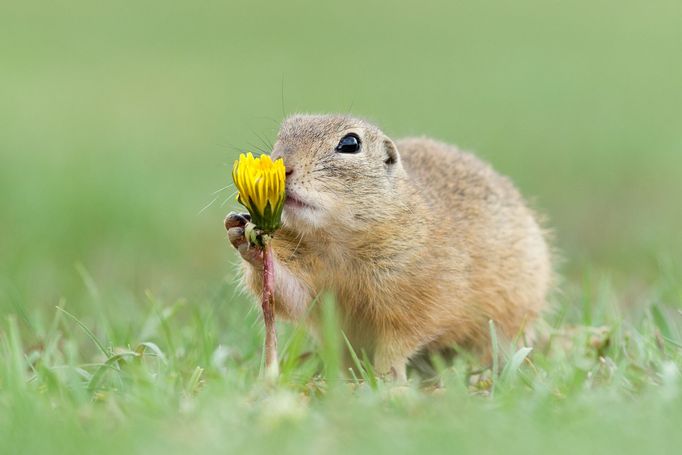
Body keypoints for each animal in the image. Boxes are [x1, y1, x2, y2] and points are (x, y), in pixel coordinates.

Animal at [226, 114, 548, 382]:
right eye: (281, 134)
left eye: (350, 143)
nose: (284, 166)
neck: (337, 244)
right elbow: (292, 295)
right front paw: (242, 235)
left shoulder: (419, 295)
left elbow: (400, 342)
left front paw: (388, 382)